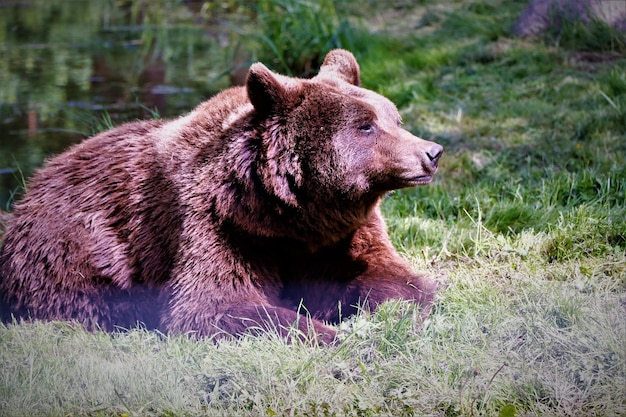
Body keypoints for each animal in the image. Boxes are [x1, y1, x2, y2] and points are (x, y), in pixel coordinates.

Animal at [0, 49, 442, 342]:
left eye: (394, 117)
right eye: (366, 125)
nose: (432, 152)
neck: (287, 213)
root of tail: (33, 185)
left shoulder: (339, 235)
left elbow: (387, 276)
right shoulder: (214, 225)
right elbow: (215, 304)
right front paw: (330, 335)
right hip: (68, 247)